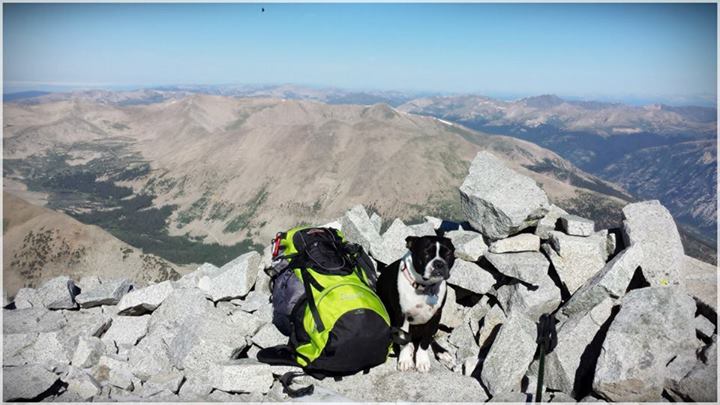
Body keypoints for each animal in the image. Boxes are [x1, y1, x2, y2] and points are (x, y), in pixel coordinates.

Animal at [376, 234, 456, 372]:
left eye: (448, 253)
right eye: (426, 253)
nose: (439, 263)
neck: (424, 287)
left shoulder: (435, 317)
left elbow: (425, 341)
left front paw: (422, 360)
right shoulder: (401, 316)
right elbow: (403, 338)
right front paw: (405, 360)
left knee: (431, 338)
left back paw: (442, 353)